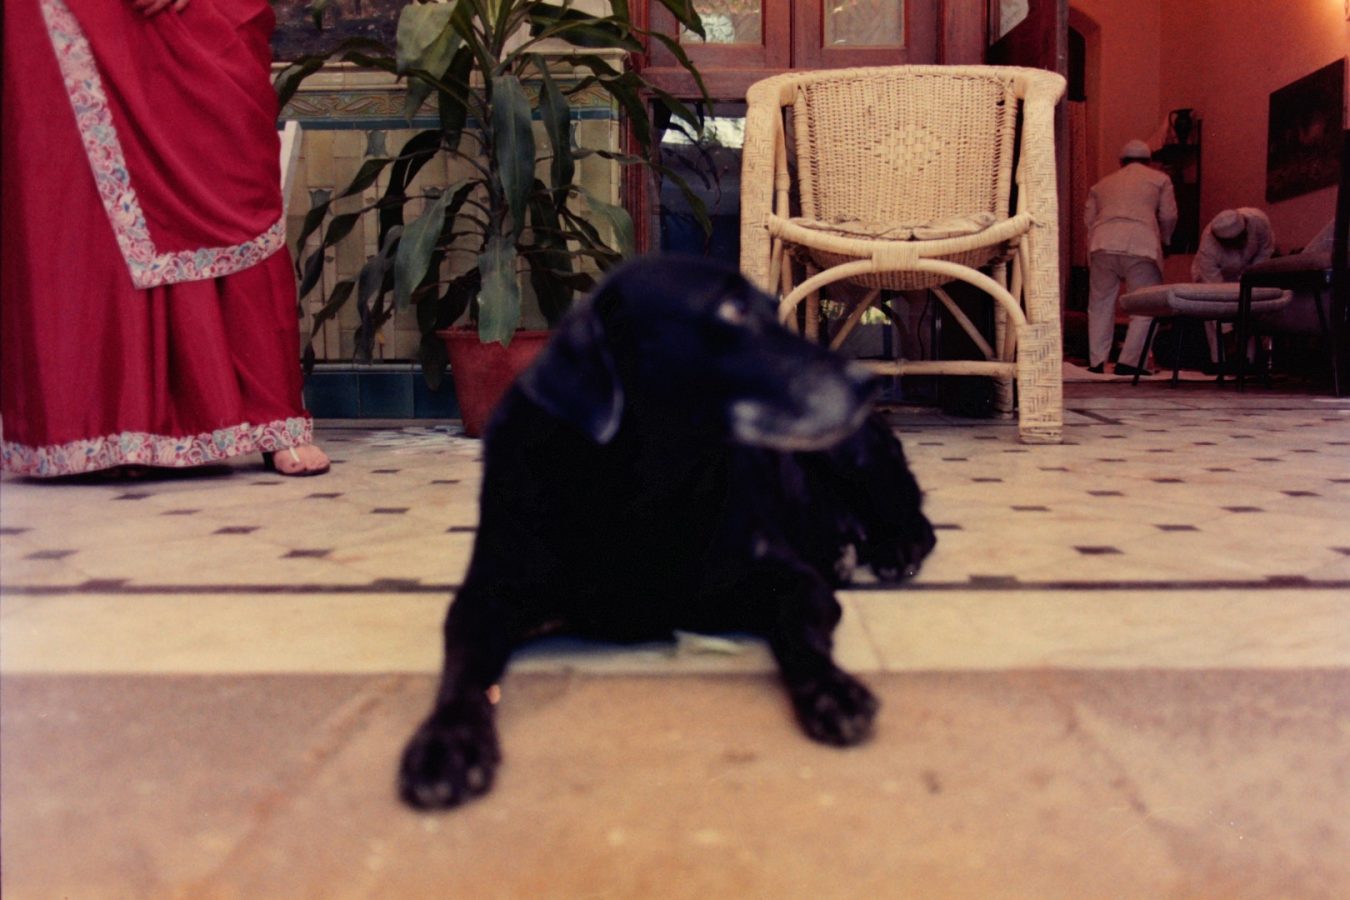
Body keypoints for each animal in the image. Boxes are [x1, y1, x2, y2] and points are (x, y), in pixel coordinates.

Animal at [399, 257, 935, 810]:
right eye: (733, 310)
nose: (868, 381)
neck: (644, 488)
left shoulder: (793, 582)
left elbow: (800, 634)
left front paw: (832, 689)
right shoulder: (484, 597)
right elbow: (462, 671)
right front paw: (446, 740)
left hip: (855, 457)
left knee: (914, 516)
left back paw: (896, 549)